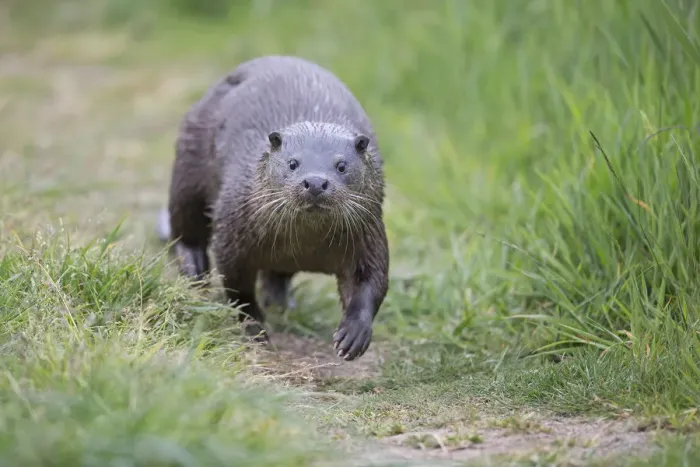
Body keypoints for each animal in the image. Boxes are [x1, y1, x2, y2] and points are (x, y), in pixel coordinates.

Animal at [158, 55, 389, 361]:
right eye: (293, 163)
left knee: (277, 273)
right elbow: (238, 290)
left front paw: (354, 334)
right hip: (188, 167)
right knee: (185, 223)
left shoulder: (368, 235)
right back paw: (194, 266)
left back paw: (280, 302)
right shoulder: (233, 234)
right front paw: (255, 330)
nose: (316, 182)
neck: (307, 249)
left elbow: (372, 281)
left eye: (341, 165)